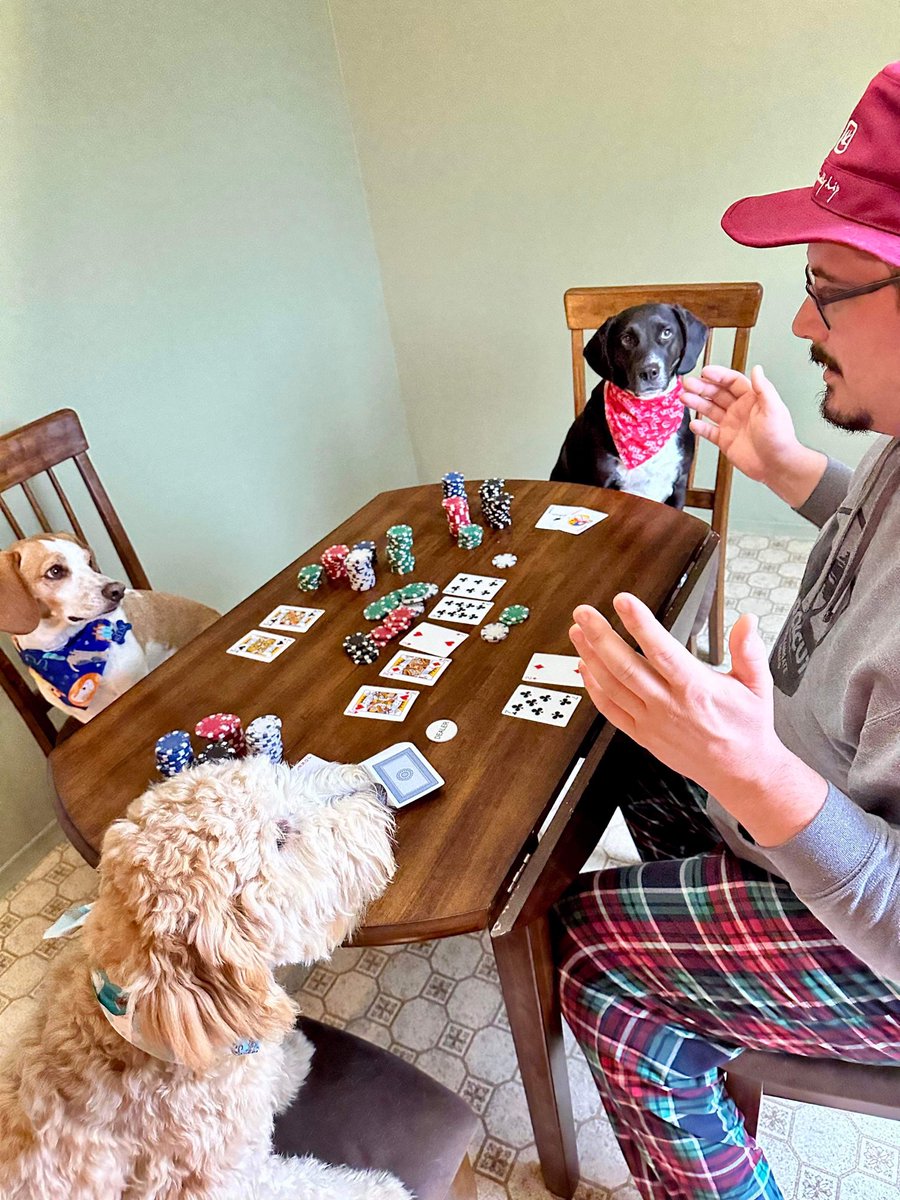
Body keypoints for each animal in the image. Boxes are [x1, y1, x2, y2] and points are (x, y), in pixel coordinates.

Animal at [0, 535, 220, 720]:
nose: (118, 590)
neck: (63, 644)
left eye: (89, 561)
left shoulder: (133, 681)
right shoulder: (87, 715)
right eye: (55, 571)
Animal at [0, 758, 415, 1200]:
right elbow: (312, 1185)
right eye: (281, 837)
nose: (377, 788)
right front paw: (383, 1190)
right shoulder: (225, 1182)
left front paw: (289, 1059)